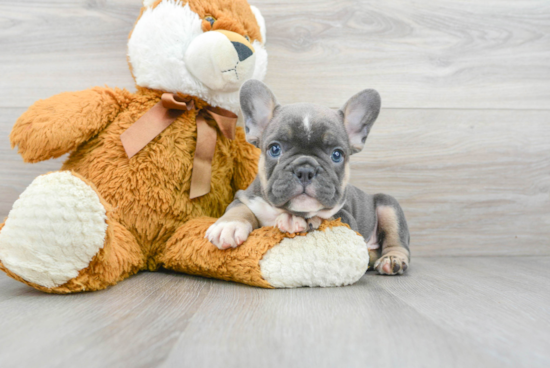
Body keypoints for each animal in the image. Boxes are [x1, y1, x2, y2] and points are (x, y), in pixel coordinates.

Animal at [205, 81, 412, 276]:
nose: (305, 170)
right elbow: (239, 209)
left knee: (398, 243)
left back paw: (392, 260)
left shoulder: (346, 219)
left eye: (337, 155)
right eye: (275, 149)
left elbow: (325, 216)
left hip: (389, 207)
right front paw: (228, 226)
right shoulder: (244, 196)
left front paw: (300, 220)